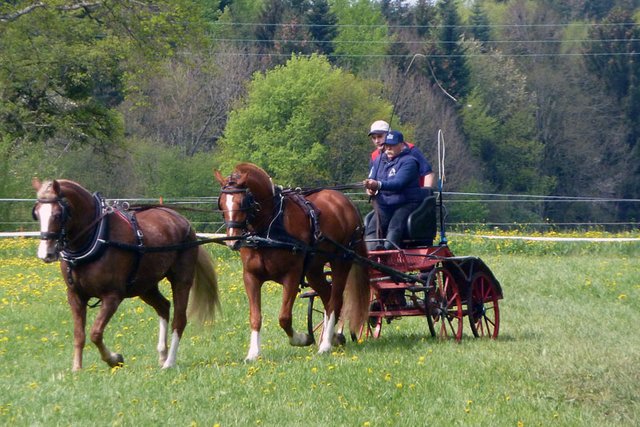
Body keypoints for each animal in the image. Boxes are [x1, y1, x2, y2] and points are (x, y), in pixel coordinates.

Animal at [32, 178, 220, 371]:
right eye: (37, 213)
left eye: (57, 214)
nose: (45, 253)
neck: (96, 236)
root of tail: (183, 221)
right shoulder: (75, 295)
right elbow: (79, 334)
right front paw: (77, 368)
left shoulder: (112, 296)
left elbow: (95, 333)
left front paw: (114, 359)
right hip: (145, 286)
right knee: (163, 307)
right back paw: (162, 354)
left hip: (181, 280)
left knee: (179, 319)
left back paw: (169, 362)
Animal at [215, 163, 370, 361]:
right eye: (221, 203)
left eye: (243, 202)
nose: (233, 241)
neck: (269, 229)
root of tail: (346, 202)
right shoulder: (251, 277)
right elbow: (255, 317)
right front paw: (253, 353)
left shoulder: (292, 276)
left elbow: (284, 317)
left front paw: (302, 339)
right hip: (314, 270)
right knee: (327, 298)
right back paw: (334, 337)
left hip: (341, 262)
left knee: (335, 301)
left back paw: (325, 345)